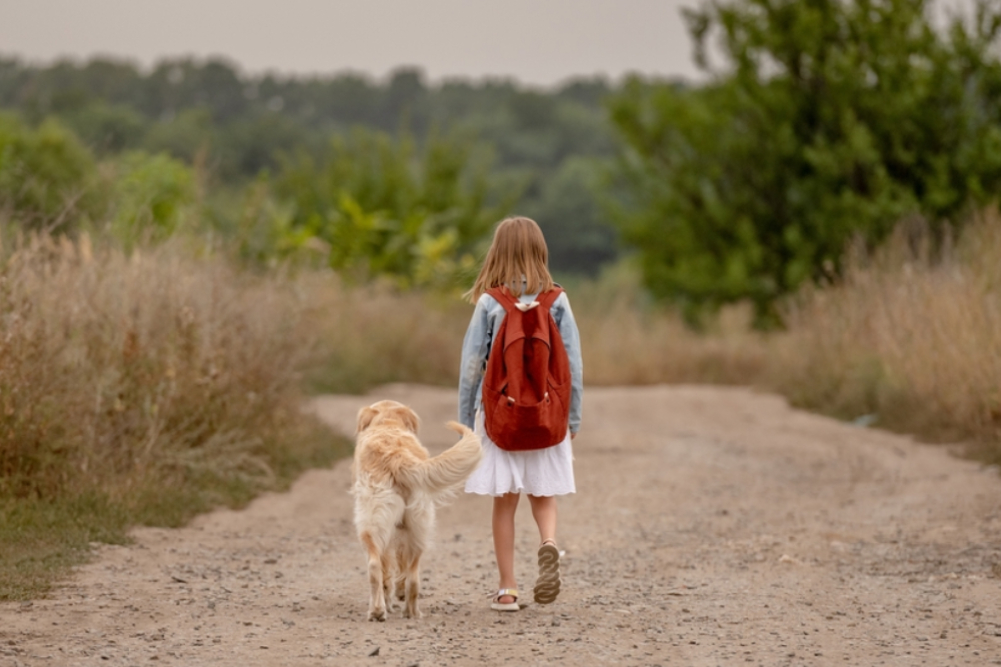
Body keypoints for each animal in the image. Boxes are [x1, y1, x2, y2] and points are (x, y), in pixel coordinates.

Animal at [350, 396, 482, 620]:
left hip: (373, 525)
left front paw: (389, 601)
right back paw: (406, 612)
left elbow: (388, 570)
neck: (388, 423)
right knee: (408, 575)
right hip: (418, 530)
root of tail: (396, 457)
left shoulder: (392, 535)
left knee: (379, 567)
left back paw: (383, 610)